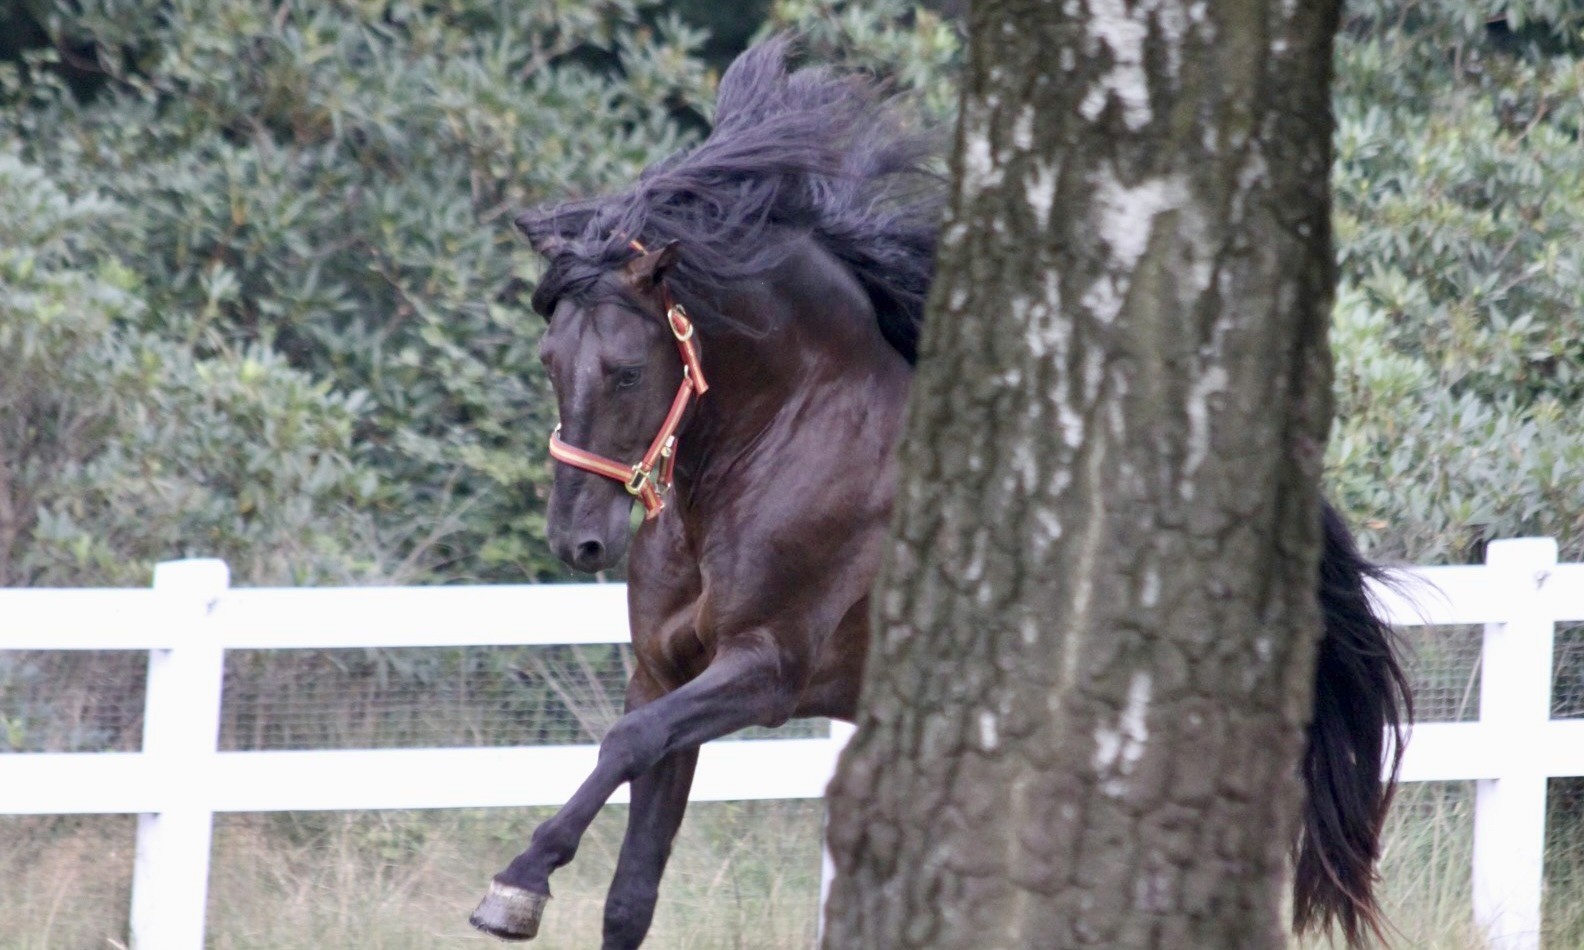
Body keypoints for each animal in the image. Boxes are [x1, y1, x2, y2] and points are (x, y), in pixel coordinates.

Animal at [469, 37, 1411, 950]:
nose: (577, 539)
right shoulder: (664, 671)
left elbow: (621, 743)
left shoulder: (766, 672)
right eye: (550, 360)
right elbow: (631, 877)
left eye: (626, 371)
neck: (776, 453)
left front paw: (517, 883)